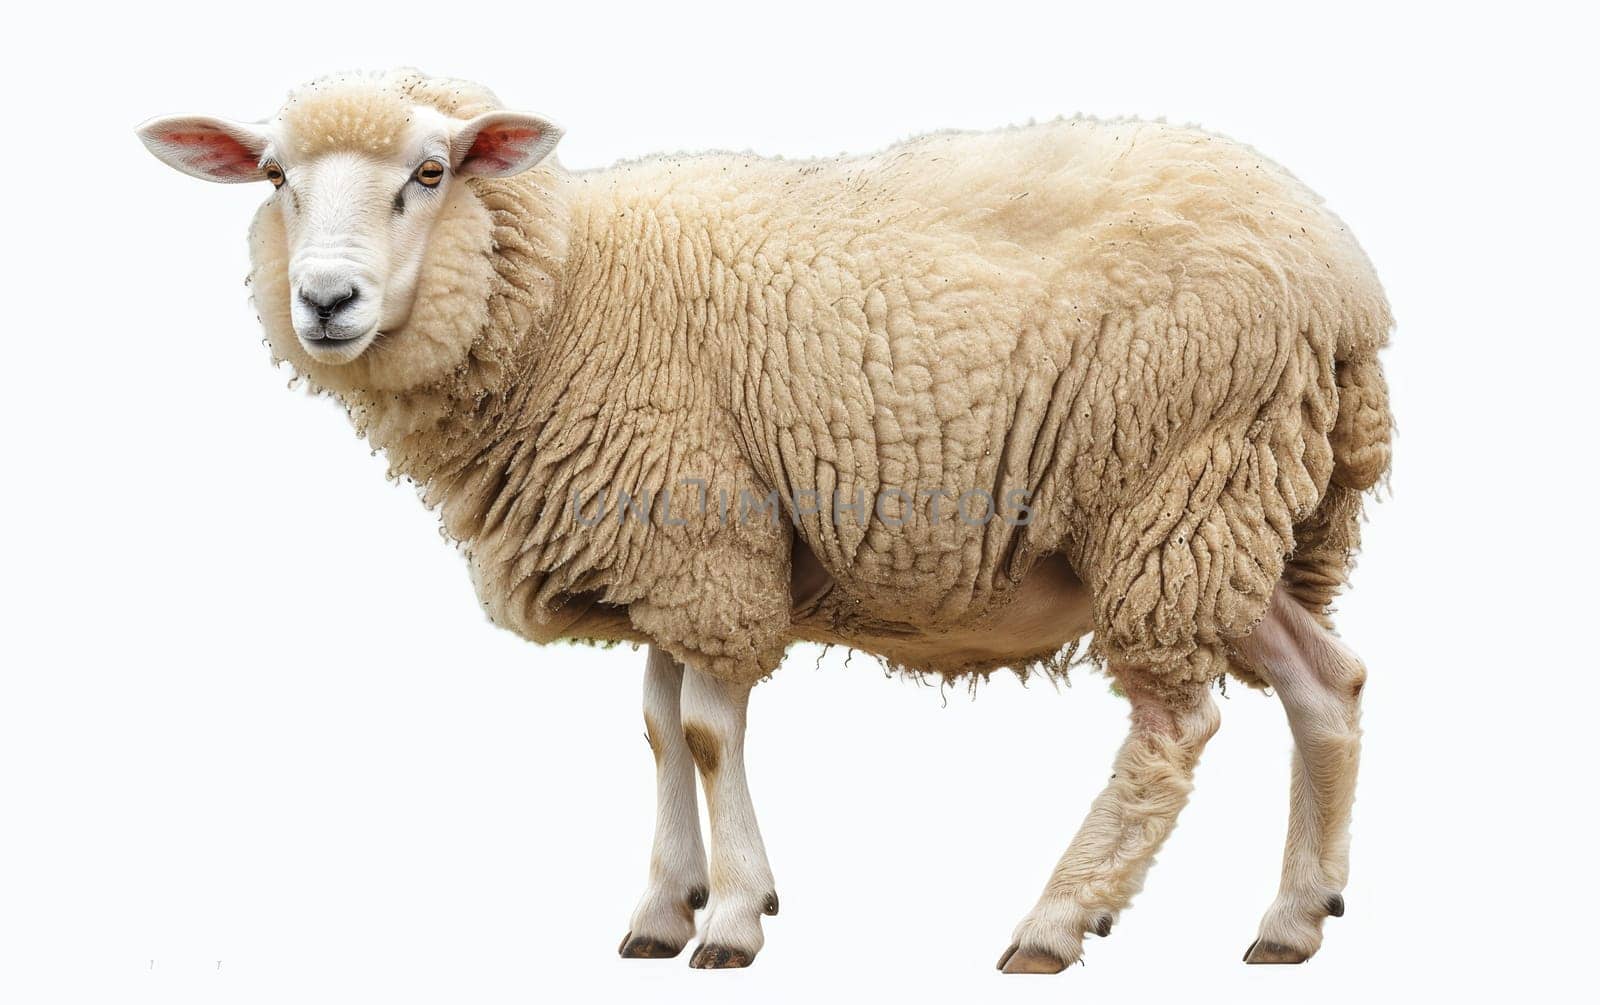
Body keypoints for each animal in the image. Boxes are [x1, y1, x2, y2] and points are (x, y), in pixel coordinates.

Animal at [137, 70, 1388, 972]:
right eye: (273, 176)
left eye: (430, 172)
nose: (325, 301)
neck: (567, 297)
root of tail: (1341, 273)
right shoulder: (654, 554)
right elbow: (654, 727)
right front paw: (662, 904)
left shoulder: (708, 539)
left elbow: (704, 733)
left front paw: (732, 916)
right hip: (1238, 509)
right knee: (1325, 681)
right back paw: (1294, 916)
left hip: (1172, 485)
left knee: (1177, 726)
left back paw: (1056, 920)